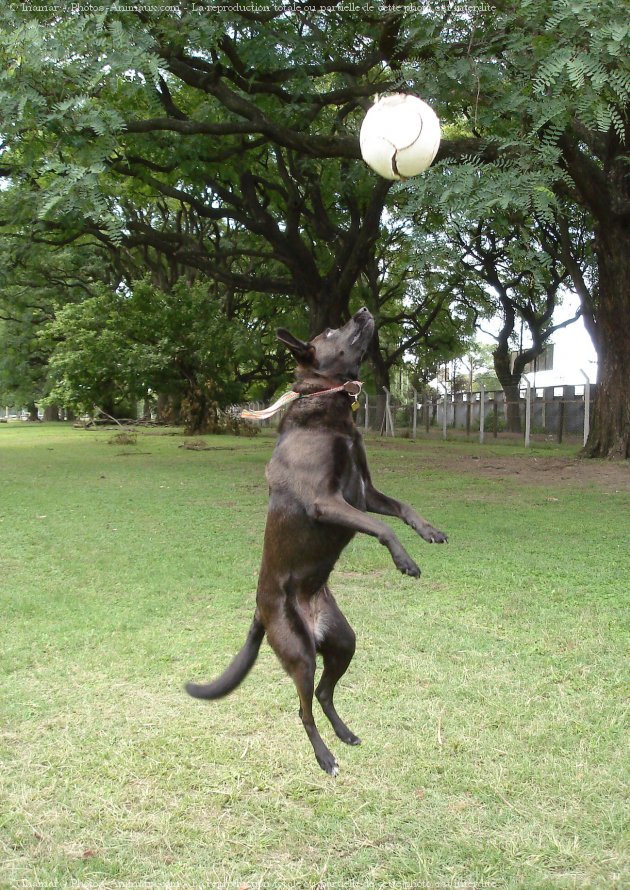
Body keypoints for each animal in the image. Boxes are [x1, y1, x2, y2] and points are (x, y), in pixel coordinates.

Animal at [188, 308, 450, 772]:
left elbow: (402, 508)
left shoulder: (364, 493)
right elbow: (382, 526)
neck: (325, 402)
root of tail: (261, 610)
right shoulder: (327, 502)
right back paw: (325, 756)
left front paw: (428, 531)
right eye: (331, 331)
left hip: (344, 642)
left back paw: (344, 733)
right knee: (303, 708)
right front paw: (405, 560)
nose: (362, 312)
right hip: (300, 654)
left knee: (325, 694)